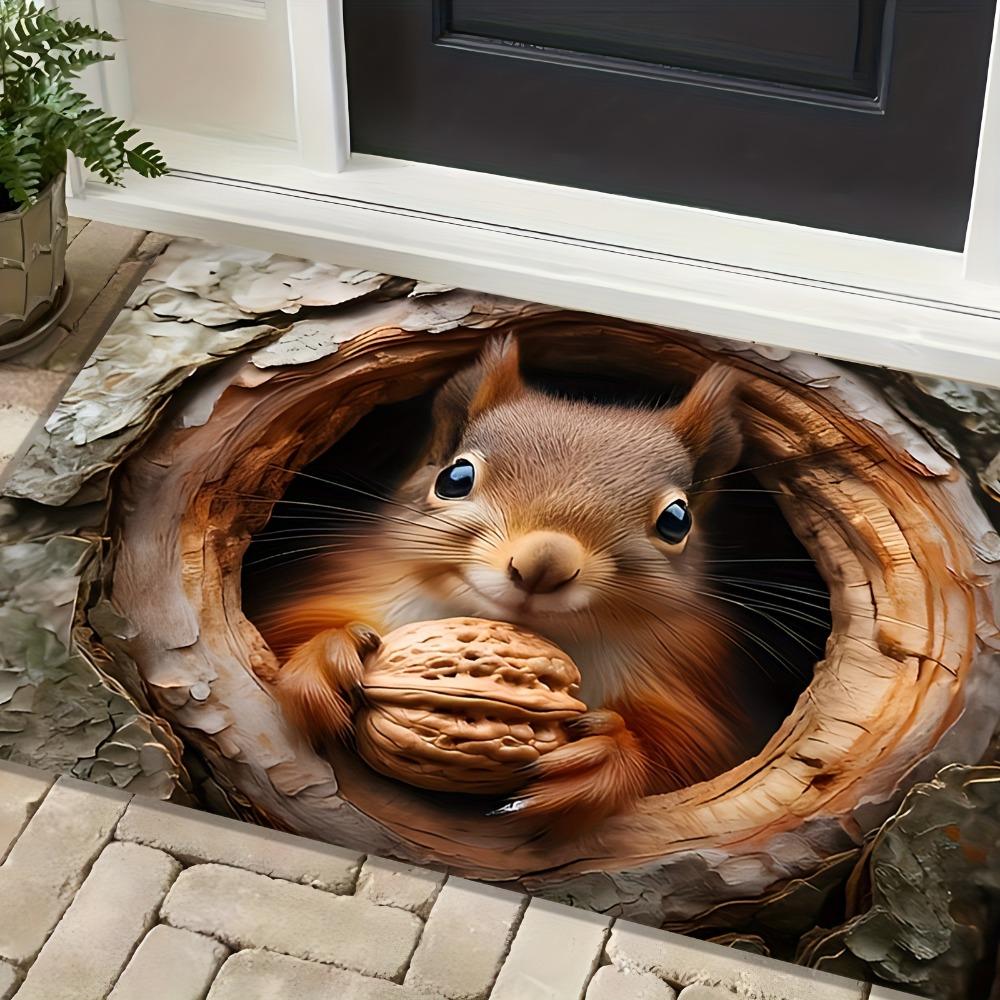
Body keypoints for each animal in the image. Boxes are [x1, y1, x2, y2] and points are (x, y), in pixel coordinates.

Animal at [261, 336, 746, 828]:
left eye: (677, 520)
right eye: (454, 477)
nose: (543, 565)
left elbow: (680, 757)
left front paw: (604, 754)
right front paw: (327, 656)